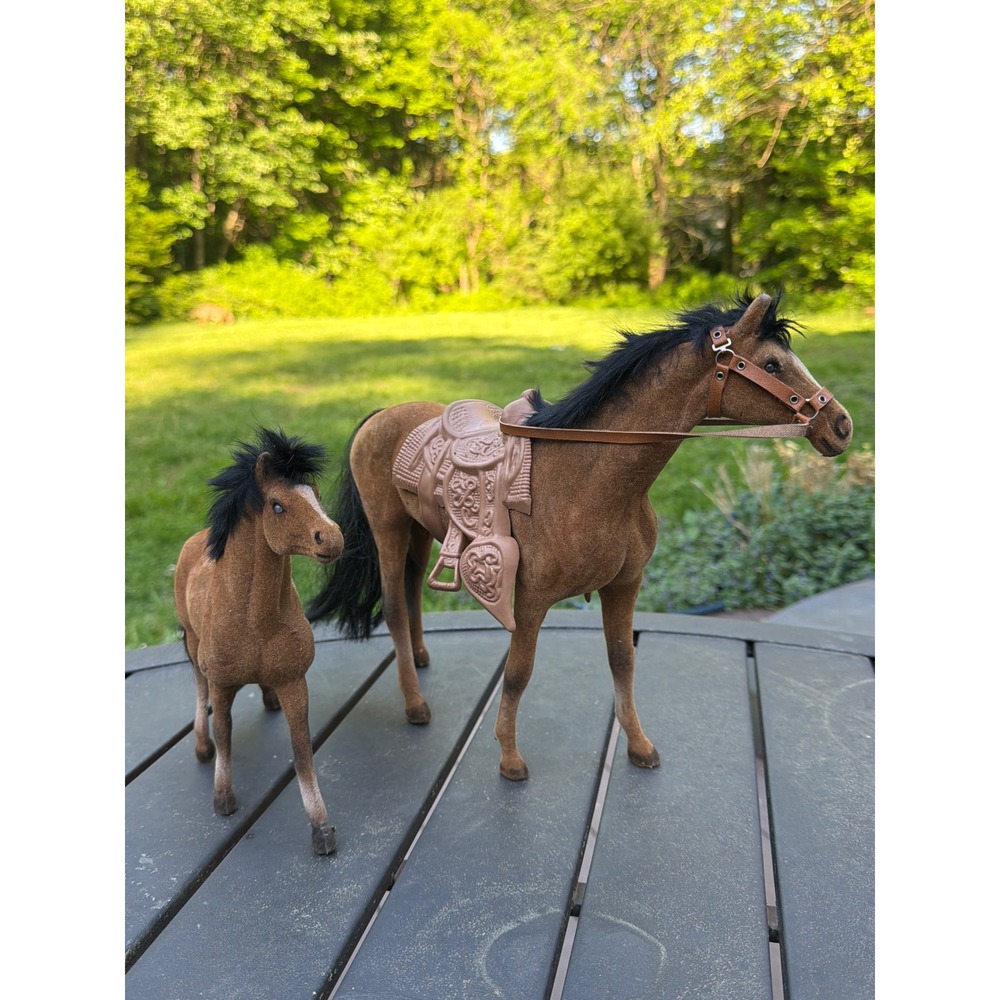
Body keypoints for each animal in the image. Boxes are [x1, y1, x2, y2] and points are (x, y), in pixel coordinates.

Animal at [174, 427, 345, 854]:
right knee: (199, 689)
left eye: (316, 494)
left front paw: (321, 829)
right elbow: (225, 732)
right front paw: (223, 799)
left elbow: (301, 748)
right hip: (192, 645)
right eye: (277, 506)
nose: (332, 539)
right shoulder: (221, 683)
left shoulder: (294, 681)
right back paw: (201, 746)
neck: (256, 623)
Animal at [306, 291, 853, 781]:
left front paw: (639, 745)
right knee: (395, 606)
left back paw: (420, 659)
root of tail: (381, 414)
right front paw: (509, 759)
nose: (841, 424)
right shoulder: (529, 600)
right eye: (772, 363)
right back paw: (415, 703)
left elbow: (622, 660)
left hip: (421, 531)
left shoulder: (625, 586)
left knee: (415, 590)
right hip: (388, 528)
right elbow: (519, 673)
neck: (588, 479)